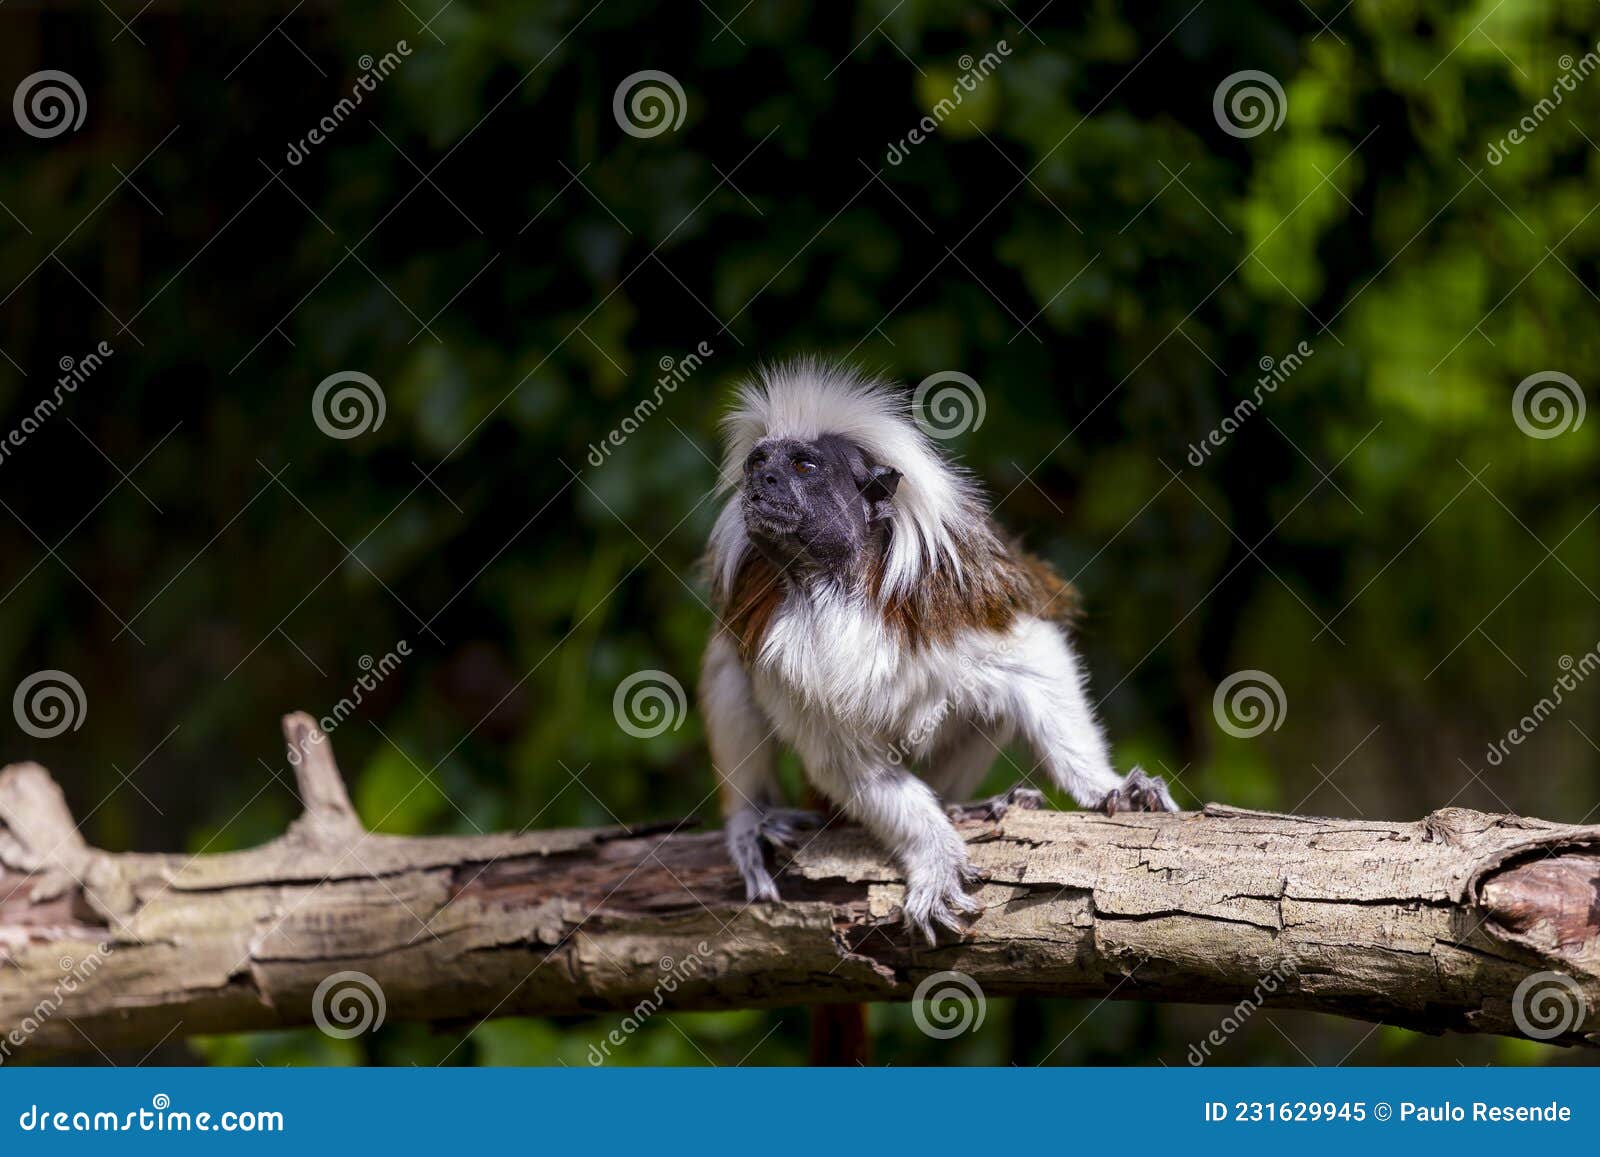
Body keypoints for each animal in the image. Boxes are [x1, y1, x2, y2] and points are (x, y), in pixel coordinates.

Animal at [700, 361, 1177, 940]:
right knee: (727, 665)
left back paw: (968, 806)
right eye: (758, 463)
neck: (834, 585)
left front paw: (1103, 787)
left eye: (802, 465)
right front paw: (934, 854)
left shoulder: (957, 595)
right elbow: (853, 765)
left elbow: (1037, 661)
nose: (761, 481)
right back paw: (753, 820)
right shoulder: (778, 651)